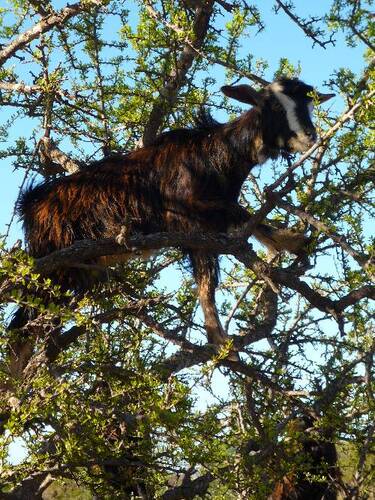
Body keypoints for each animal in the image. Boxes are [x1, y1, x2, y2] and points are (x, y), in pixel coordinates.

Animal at [8, 78, 334, 376]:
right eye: (275, 106)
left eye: (309, 104)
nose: (309, 136)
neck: (216, 155)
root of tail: (32, 207)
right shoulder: (187, 219)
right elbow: (211, 273)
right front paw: (222, 345)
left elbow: (245, 224)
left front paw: (294, 242)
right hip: (53, 269)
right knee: (22, 326)